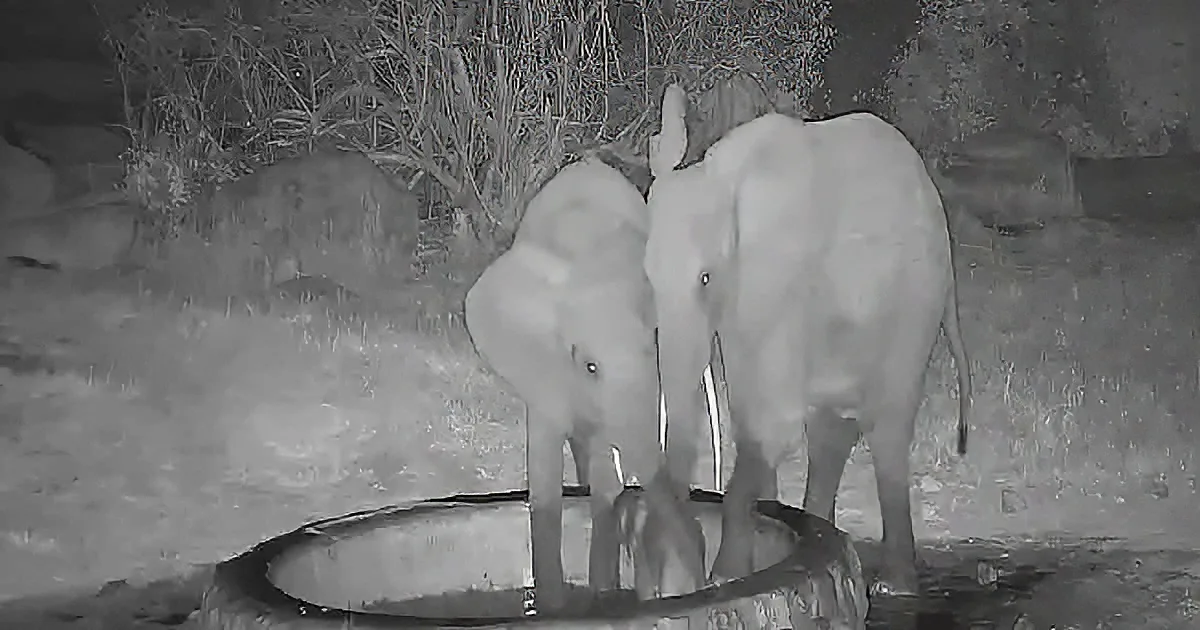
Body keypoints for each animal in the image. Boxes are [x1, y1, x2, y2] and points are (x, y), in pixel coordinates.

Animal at [464, 157, 706, 613]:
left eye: (653, 350)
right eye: (590, 367)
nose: (691, 586)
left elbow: (605, 477)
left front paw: (601, 596)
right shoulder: (544, 369)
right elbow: (543, 484)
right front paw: (552, 609)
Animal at [640, 85, 972, 597]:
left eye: (705, 278)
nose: (670, 583)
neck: (727, 180)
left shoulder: (782, 277)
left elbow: (773, 422)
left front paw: (727, 575)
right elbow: (750, 412)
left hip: (916, 302)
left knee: (886, 425)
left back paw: (893, 584)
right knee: (830, 430)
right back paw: (822, 539)